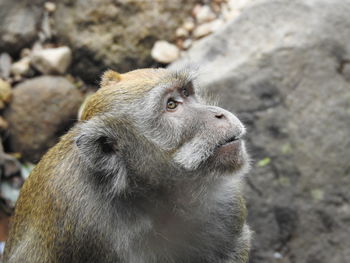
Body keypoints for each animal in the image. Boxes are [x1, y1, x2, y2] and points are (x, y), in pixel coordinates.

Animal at [4, 68, 252, 263]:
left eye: (186, 93)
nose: (219, 115)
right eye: (171, 105)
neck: (152, 198)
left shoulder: (226, 203)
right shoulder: (82, 226)